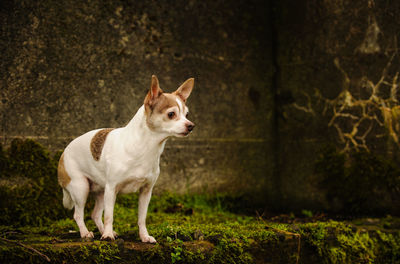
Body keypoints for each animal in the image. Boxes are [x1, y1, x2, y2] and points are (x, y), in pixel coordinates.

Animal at [57, 75, 194, 242]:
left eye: (186, 115)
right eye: (171, 114)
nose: (191, 125)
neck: (146, 147)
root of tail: (63, 153)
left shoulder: (145, 192)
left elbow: (141, 218)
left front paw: (144, 236)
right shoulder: (112, 189)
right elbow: (109, 216)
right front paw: (108, 235)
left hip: (101, 191)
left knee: (95, 215)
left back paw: (102, 231)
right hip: (81, 188)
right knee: (78, 214)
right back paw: (86, 233)